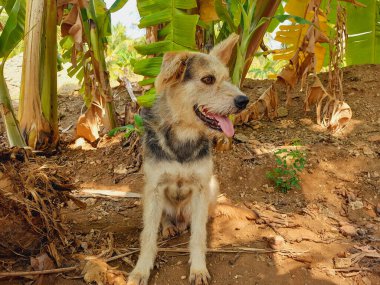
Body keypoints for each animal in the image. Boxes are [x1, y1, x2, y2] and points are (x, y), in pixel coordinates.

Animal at [127, 33, 249, 284]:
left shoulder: (201, 187)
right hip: (147, 193)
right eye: (208, 79)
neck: (184, 134)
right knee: (164, 218)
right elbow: (148, 235)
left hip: (212, 185)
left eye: (227, 79)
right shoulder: (154, 187)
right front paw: (141, 269)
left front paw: (199, 268)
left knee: (197, 220)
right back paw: (169, 227)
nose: (245, 101)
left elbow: (199, 236)